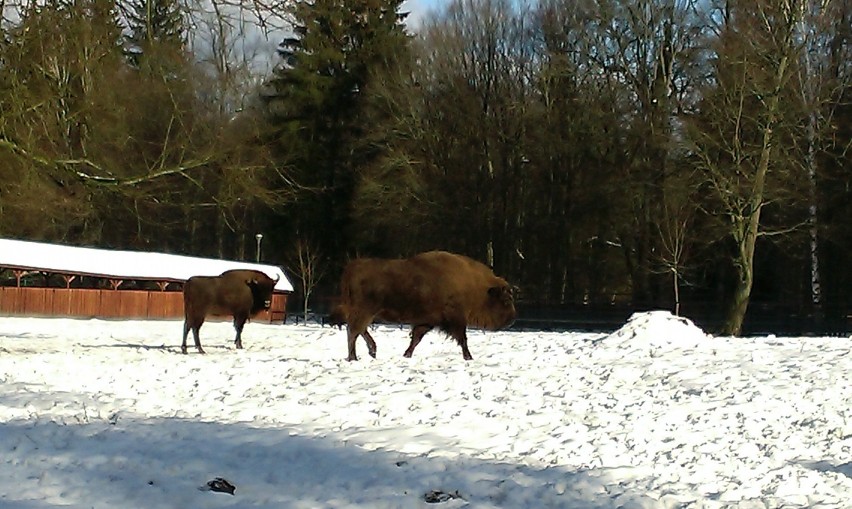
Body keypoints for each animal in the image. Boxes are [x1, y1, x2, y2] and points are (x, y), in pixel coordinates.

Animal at [332, 250, 520, 362]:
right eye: (505, 301)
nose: (512, 320)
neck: (475, 286)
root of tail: (352, 267)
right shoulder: (456, 320)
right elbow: (463, 339)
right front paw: (469, 357)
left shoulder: (428, 321)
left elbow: (416, 338)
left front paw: (407, 354)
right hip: (364, 312)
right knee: (353, 332)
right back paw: (354, 357)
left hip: (365, 313)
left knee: (358, 330)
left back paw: (371, 351)